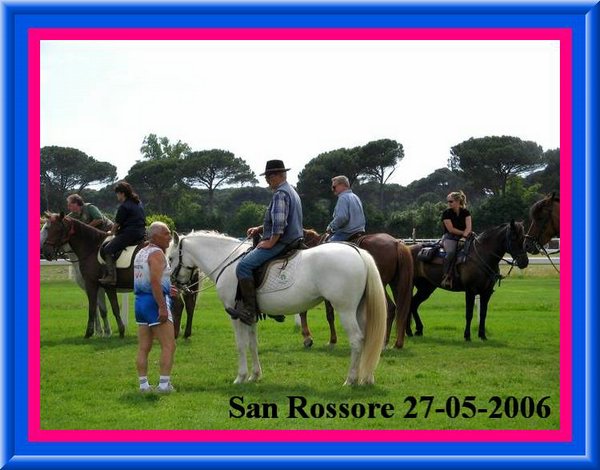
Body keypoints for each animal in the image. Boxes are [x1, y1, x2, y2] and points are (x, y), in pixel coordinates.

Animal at [170, 231, 388, 385]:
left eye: (171, 258)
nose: (174, 284)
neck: (228, 263)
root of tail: (358, 252)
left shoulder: (235, 315)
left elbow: (240, 345)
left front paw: (241, 377)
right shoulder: (249, 315)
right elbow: (252, 344)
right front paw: (255, 375)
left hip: (345, 310)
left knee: (357, 341)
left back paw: (351, 379)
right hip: (359, 311)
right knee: (368, 339)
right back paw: (366, 377)